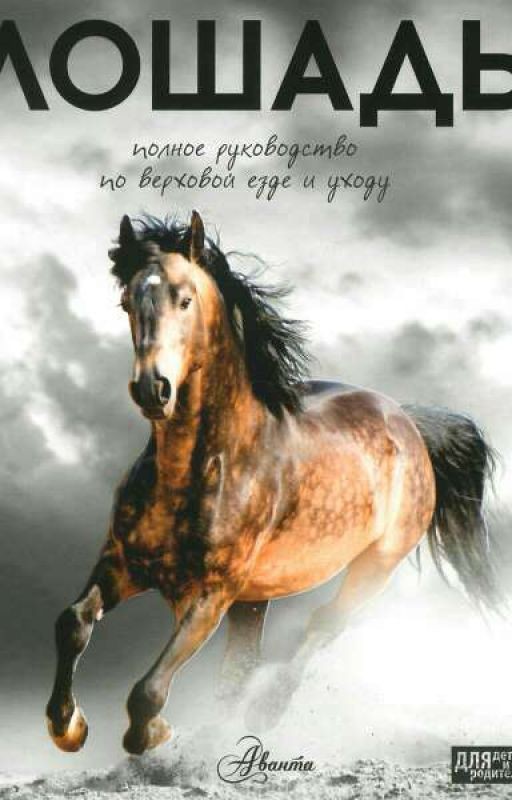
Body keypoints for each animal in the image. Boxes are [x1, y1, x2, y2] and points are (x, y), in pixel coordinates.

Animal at [46, 210, 499, 756]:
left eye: (185, 299)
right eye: (127, 302)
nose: (153, 389)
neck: (199, 468)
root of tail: (407, 420)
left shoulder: (211, 593)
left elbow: (147, 690)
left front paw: (151, 733)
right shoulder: (123, 563)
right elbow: (73, 621)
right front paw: (68, 727)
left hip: (374, 565)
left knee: (322, 625)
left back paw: (263, 713)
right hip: (254, 599)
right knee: (240, 668)